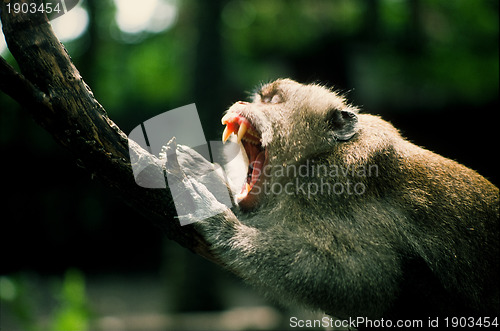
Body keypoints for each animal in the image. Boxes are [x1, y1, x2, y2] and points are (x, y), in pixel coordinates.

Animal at [163, 79, 496, 322]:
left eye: (273, 101)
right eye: (260, 98)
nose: (244, 104)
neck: (316, 157)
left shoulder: (335, 184)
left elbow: (365, 280)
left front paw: (215, 219)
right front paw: (204, 174)